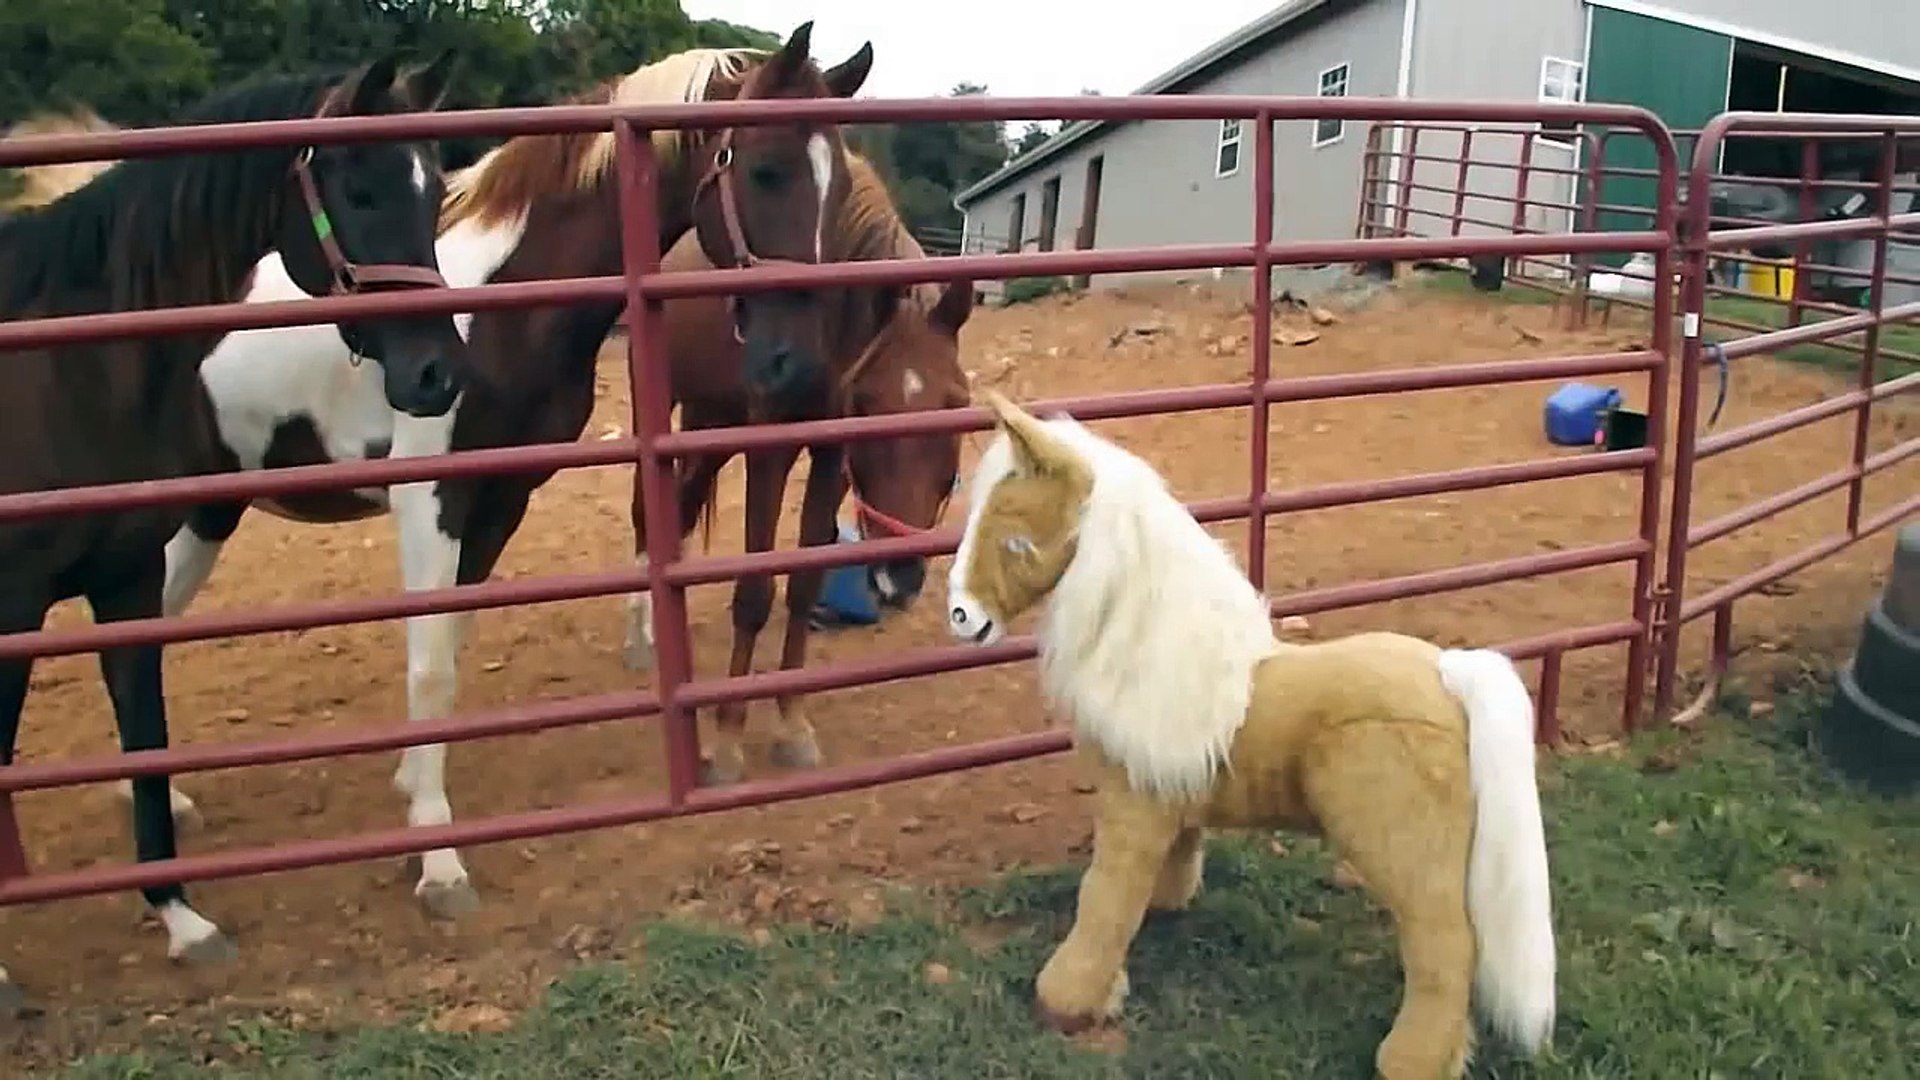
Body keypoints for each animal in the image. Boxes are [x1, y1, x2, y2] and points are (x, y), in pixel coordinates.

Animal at [0, 54, 464, 1006]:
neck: (62, 368)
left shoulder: (127, 580)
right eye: (359, 191)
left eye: (435, 191)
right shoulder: (17, 598)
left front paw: (182, 920)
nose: (438, 375)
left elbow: (147, 737)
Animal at [625, 153, 975, 780]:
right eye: (866, 404)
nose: (900, 577)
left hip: (712, 423)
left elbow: (805, 582)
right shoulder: (770, 449)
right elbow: (755, 592)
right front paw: (728, 741)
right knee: (650, 513)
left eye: (958, 404)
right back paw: (643, 637)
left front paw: (792, 724)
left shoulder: (831, 458)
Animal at [944, 388, 1559, 1076]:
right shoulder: (1173, 805)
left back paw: (1406, 1062)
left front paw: (1067, 1002)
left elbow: (1101, 900)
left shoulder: (1133, 809)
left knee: (1446, 947)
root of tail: (1451, 676)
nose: (962, 616)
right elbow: (1164, 871)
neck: (1152, 651)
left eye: (1015, 537)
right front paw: (1164, 909)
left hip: (1405, 856)